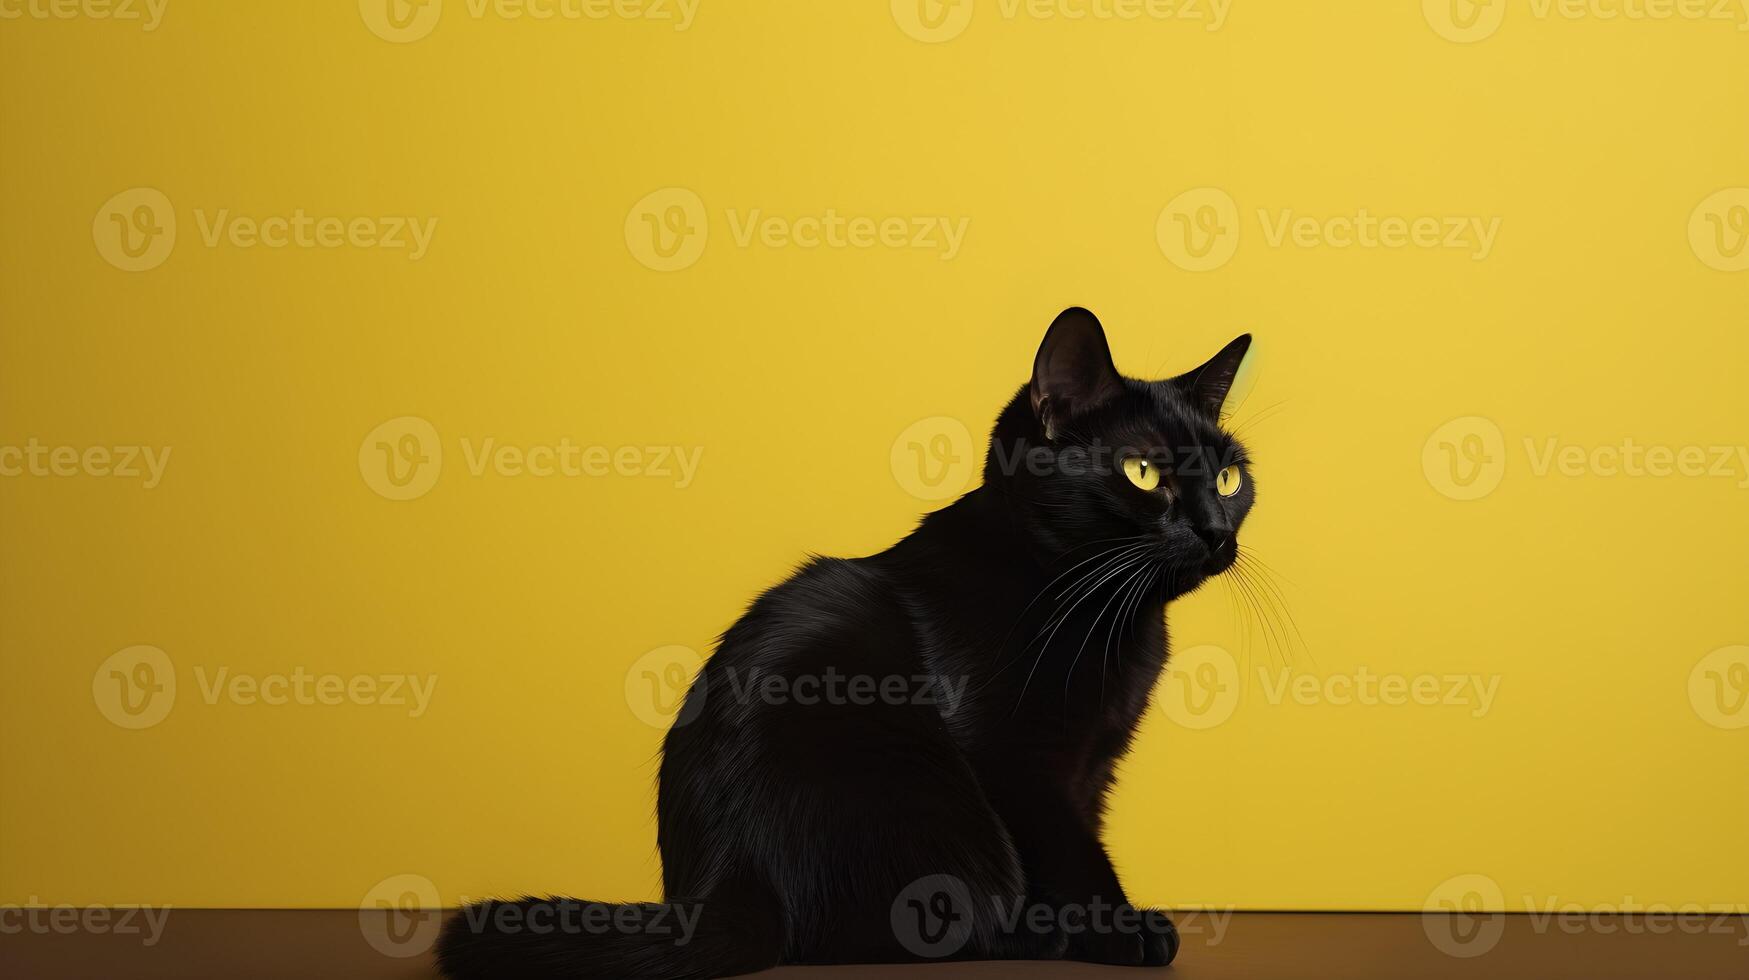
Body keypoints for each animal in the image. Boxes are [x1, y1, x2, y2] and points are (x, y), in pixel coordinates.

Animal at [437, 308, 1259, 980]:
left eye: (1228, 478)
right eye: (1143, 471)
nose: (1215, 531)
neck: (1107, 609)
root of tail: (722, 886)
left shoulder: (1092, 767)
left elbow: (1080, 835)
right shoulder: (1014, 759)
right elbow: (1068, 850)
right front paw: (1120, 930)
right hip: (913, 787)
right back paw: (1037, 935)